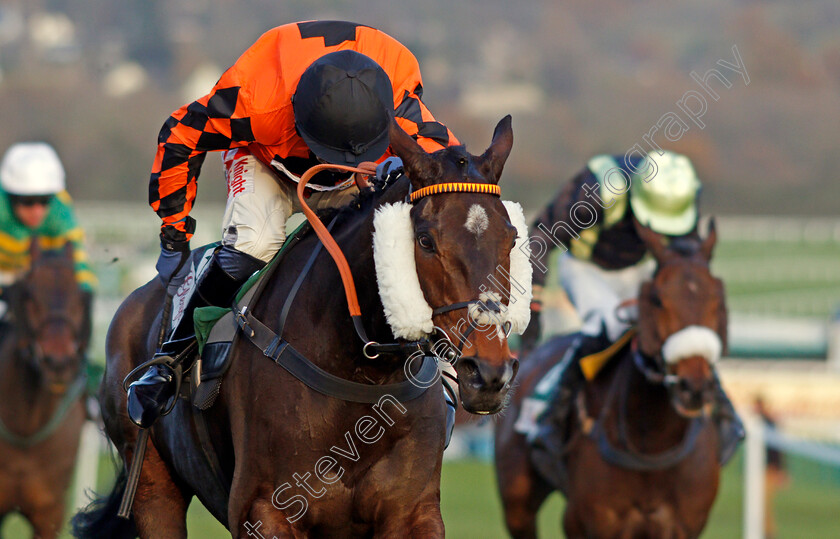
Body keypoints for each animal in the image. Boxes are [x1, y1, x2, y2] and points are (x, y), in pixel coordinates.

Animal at [75, 119, 528, 539]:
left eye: (511, 238)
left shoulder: (413, 512)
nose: (488, 373)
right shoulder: (265, 511)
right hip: (153, 485)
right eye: (425, 240)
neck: (362, 376)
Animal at [498, 220, 728, 539]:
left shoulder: (683, 526)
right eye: (657, 299)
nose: (692, 387)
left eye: (718, 296)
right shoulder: (587, 522)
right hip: (517, 502)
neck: (653, 444)